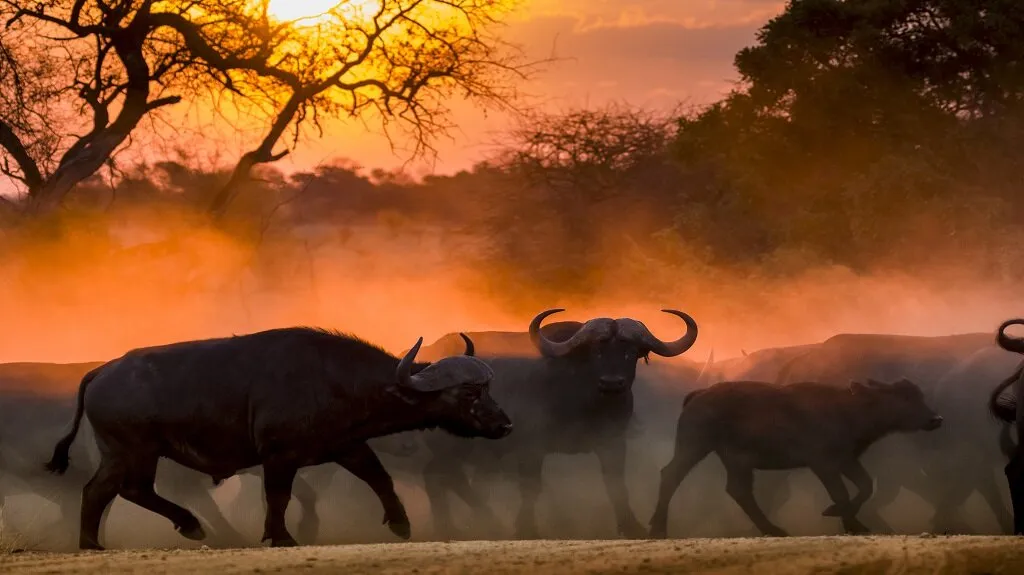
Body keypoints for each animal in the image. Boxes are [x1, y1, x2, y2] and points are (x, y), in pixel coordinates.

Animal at [44, 327, 512, 550]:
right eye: (470, 393)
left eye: (489, 388)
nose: (505, 425)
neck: (335, 379)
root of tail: (103, 371)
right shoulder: (279, 456)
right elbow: (279, 496)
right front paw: (280, 535)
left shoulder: (346, 445)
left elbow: (380, 478)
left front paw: (400, 523)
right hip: (133, 450)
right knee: (116, 490)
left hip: (127, 453)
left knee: (111, 490)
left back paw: (104, 541)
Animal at [649, 378, 943, 538]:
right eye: (901, 397)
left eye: (919, 394)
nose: (936, 419)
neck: (848, 409)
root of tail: (698, 395)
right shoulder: (823, 463)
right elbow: (841, 492)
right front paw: (845, 519)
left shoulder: (847, 460)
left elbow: (865, 485)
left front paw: (854, 522)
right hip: (694, 446)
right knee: (671, 475)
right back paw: (658, 529)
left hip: (736, 460)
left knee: (738, 490)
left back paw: (773, 529)